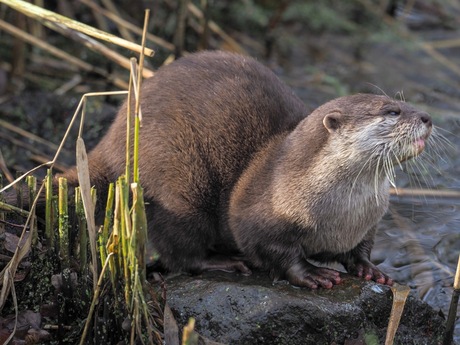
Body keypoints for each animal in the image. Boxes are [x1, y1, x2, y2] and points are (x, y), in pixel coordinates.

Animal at [62, 49, 432, 288]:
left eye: (403, 103)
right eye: (392, 111)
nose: (427, 116)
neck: (341, 215)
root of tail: (111, 140)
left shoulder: (367, 224)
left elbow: (362, 249)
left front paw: (371, 269)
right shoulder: (257, 217)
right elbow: (271, 250)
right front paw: (311, 273)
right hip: (174, 183)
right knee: (180, 251)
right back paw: (223, 262)